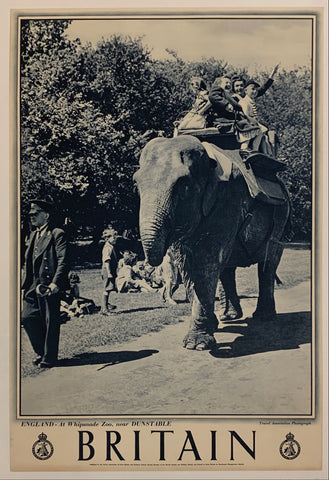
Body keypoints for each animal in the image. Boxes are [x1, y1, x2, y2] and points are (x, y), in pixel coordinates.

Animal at [133, 133, 290, 350]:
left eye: (184, 185)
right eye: (136, 184)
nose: (148, 266)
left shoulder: (227, 200)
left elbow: (206, 261)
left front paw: (196, 345)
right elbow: (187, 264)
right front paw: (209, 330)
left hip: (282, 217)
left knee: (269, 262)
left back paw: (263, 317)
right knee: (228, 267)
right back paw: (229, 317)